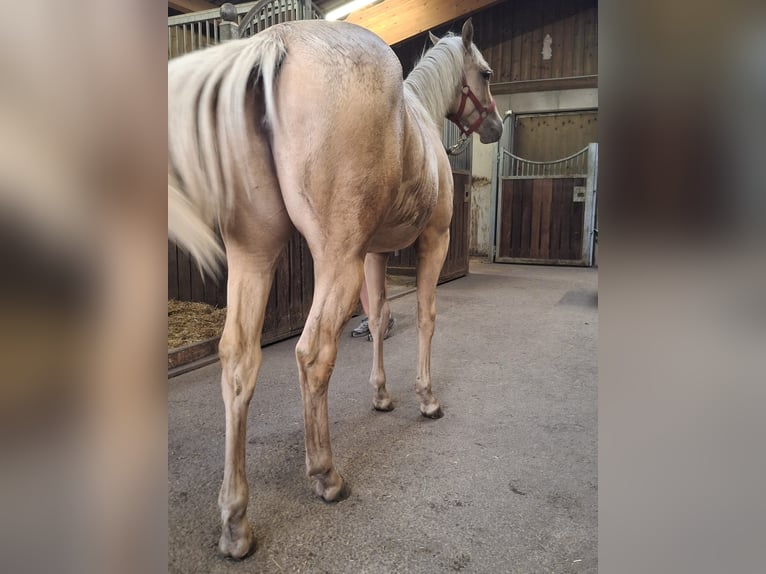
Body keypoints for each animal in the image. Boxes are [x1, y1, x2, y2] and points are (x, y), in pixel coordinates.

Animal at [168, 18, 502, 558]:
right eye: (486, 73)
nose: (494, 127)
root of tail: (275, 43)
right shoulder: (432, 242)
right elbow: (426, 316)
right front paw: (426, 398)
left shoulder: (375, 254)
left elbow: (381, 315)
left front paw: (382, 396)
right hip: (335, 260)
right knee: (312, 354)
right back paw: (326, 476)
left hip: (255, 254)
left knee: (238, 361)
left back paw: (235, 522)